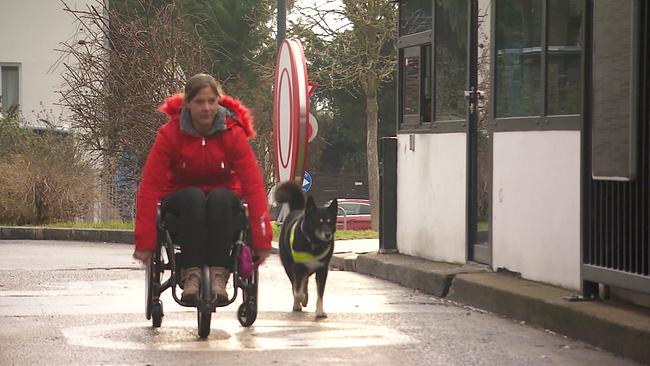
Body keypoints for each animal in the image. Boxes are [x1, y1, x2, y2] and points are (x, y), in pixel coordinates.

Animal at [274, 180, 336, 318]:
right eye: (319, 221)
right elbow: (297, 291)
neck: (313, 243)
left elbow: (320, 293)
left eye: (330, 221)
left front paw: (320, 311)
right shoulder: (298, 267)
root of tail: (298, 210)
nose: (328, 234)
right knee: (295, 285)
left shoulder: (322, 270)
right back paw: (298, 303)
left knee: (304, 282)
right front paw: (301, 299)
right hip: (289, 266)